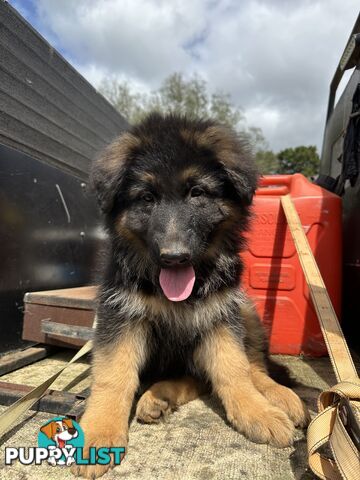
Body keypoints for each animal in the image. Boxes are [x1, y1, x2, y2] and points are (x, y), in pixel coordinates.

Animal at [74, 112, 310, 476]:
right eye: (146, 198)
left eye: (197, 193)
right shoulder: (120, 316)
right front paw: (98, 432)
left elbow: (234, 369)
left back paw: (278, 396)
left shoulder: (221, 315)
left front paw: (256, 411)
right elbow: (113, 376)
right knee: (199, 378)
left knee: (253, 367)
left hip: (246, 311)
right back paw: (159, 397)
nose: (175, 257)